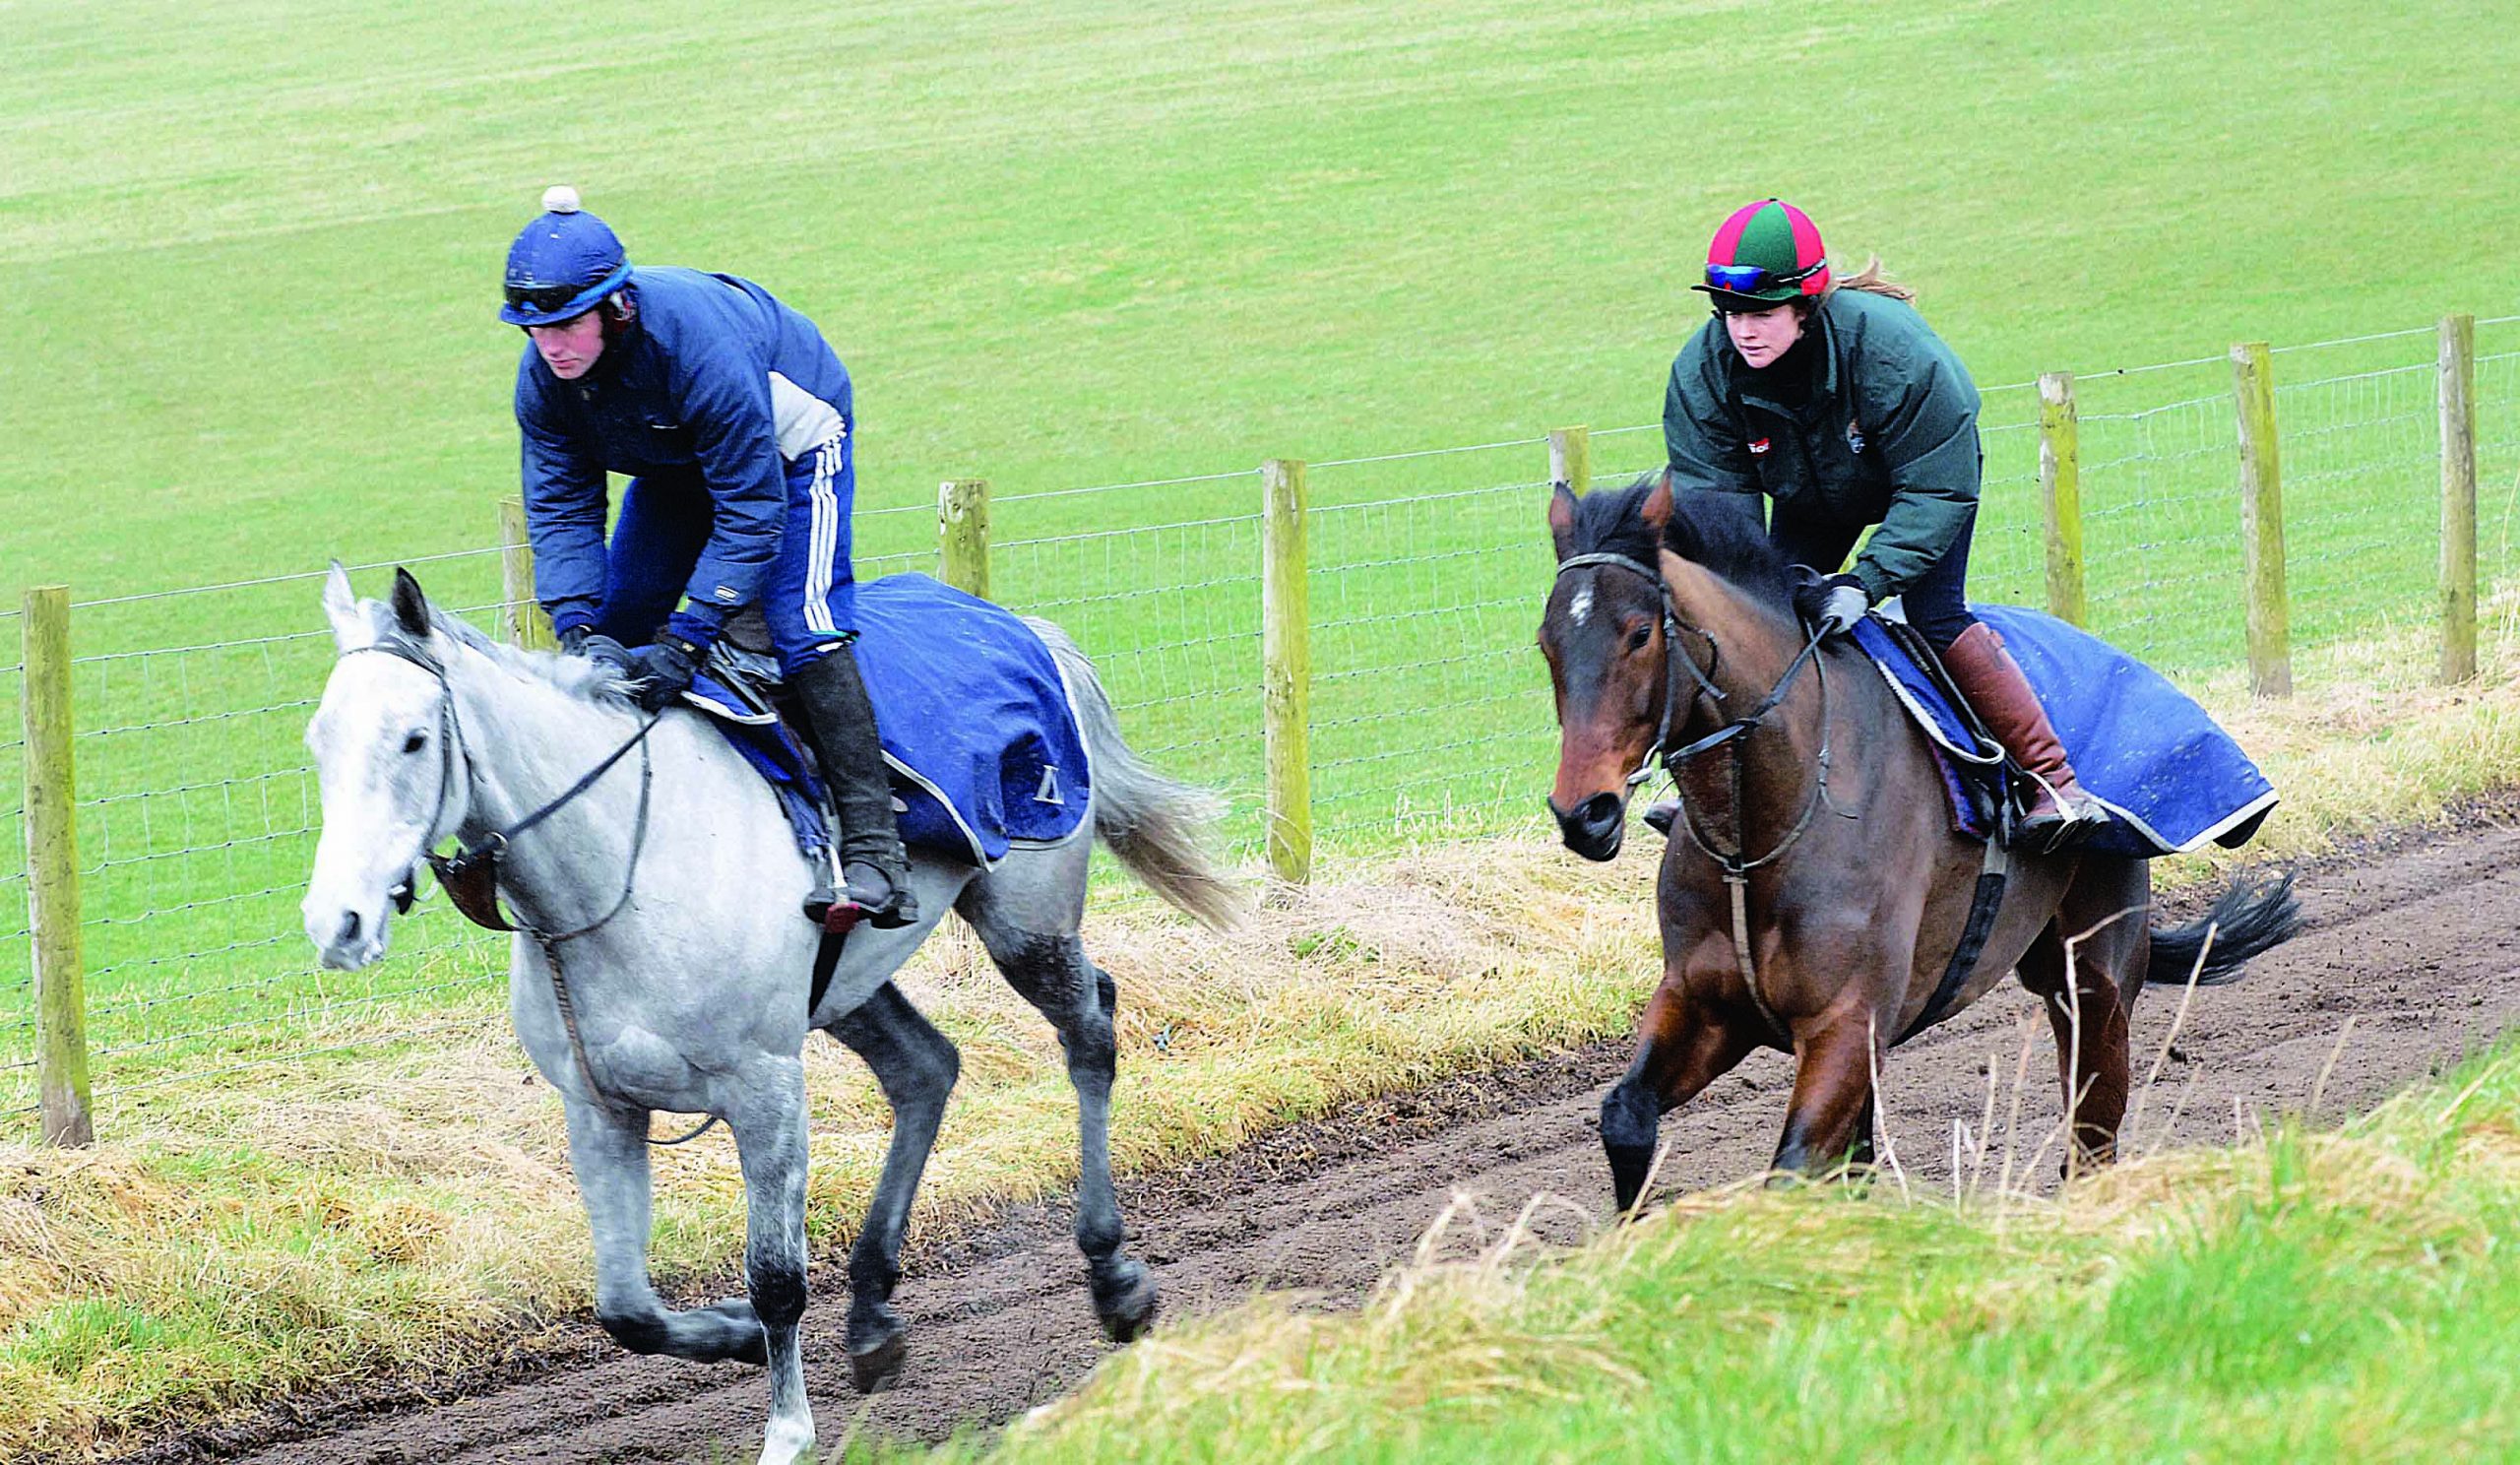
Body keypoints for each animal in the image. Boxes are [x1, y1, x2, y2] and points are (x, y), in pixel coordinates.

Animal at [304, 562, 1239, 1462]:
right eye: (319, 741)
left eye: (413, 738)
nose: (335, 922)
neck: (622, 870)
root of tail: (1018, 626)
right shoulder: (600, 1106)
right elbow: (625, 1307)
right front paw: (734, 1335)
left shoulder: (766, 1090)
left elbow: (777, 1279)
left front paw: (787, 1431)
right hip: (847, 988)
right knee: (925, 1068)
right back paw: (871, 1312)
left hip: (1028, 922)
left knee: (1090, 1032)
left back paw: (1112, 1274)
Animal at [1532, 474, 2307, 1205]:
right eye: (1546, 643)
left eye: (1639, 633)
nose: (1584, 812)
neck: (1757, 835)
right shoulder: (1704, 1005)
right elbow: (1625, 1115)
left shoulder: (1848, 1024)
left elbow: (1789, 1173)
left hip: (2093, 976)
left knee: (2091, 1137)